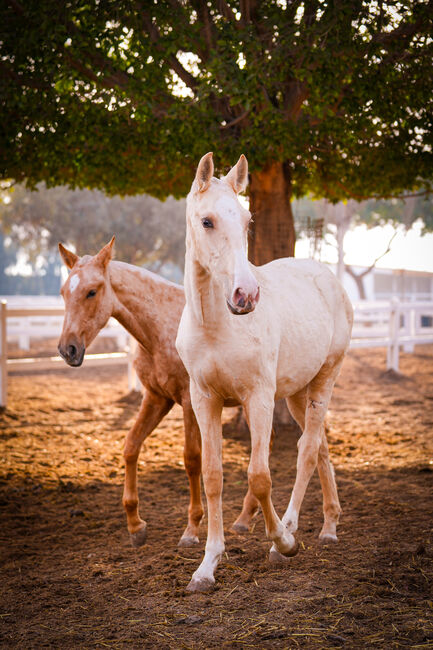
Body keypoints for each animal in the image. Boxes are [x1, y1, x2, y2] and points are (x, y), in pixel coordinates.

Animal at [57, 238, 260, 548]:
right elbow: (131, 446)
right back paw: (245, 518)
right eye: (64, 292)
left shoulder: (189, 402)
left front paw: (191, 528)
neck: (161, 329)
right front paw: (135, 524)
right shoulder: (156, 398)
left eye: (92, 291)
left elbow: (191, 459)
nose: (67, 350)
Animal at [175, 153, 352, 592]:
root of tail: (328, 278)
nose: (246, 295)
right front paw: (206, 567)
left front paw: (283, 543)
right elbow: (213, 476)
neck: (216, 325)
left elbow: (259, 476)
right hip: (297, 394)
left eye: (247, 220)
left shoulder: (257, 398)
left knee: (307, 451)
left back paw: (289, 531)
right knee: (320, 446)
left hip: (324, 380)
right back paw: (329, 527)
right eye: (207, 221)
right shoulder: (205, 399)